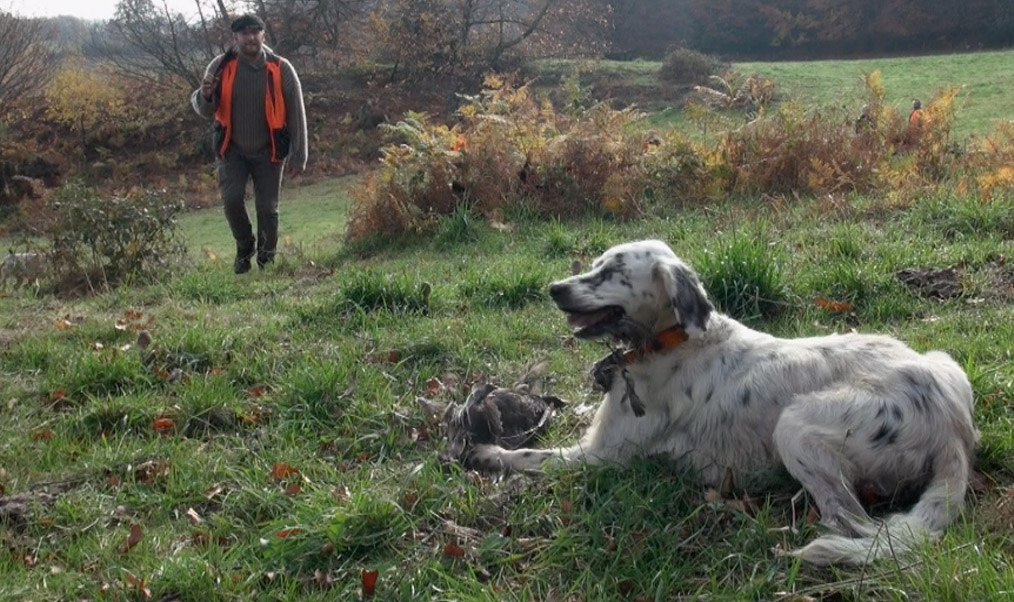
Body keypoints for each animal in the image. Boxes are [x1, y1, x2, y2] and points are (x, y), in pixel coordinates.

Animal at [470, 238, 977, 563]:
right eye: (594, 265)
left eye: (612, 272)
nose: (555, 288)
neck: (670, 342)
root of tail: (953, 429)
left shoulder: (601, 457)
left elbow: (530, 455)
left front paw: (485, 452)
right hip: (944, 360)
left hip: (796, 424)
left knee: (848, 520)